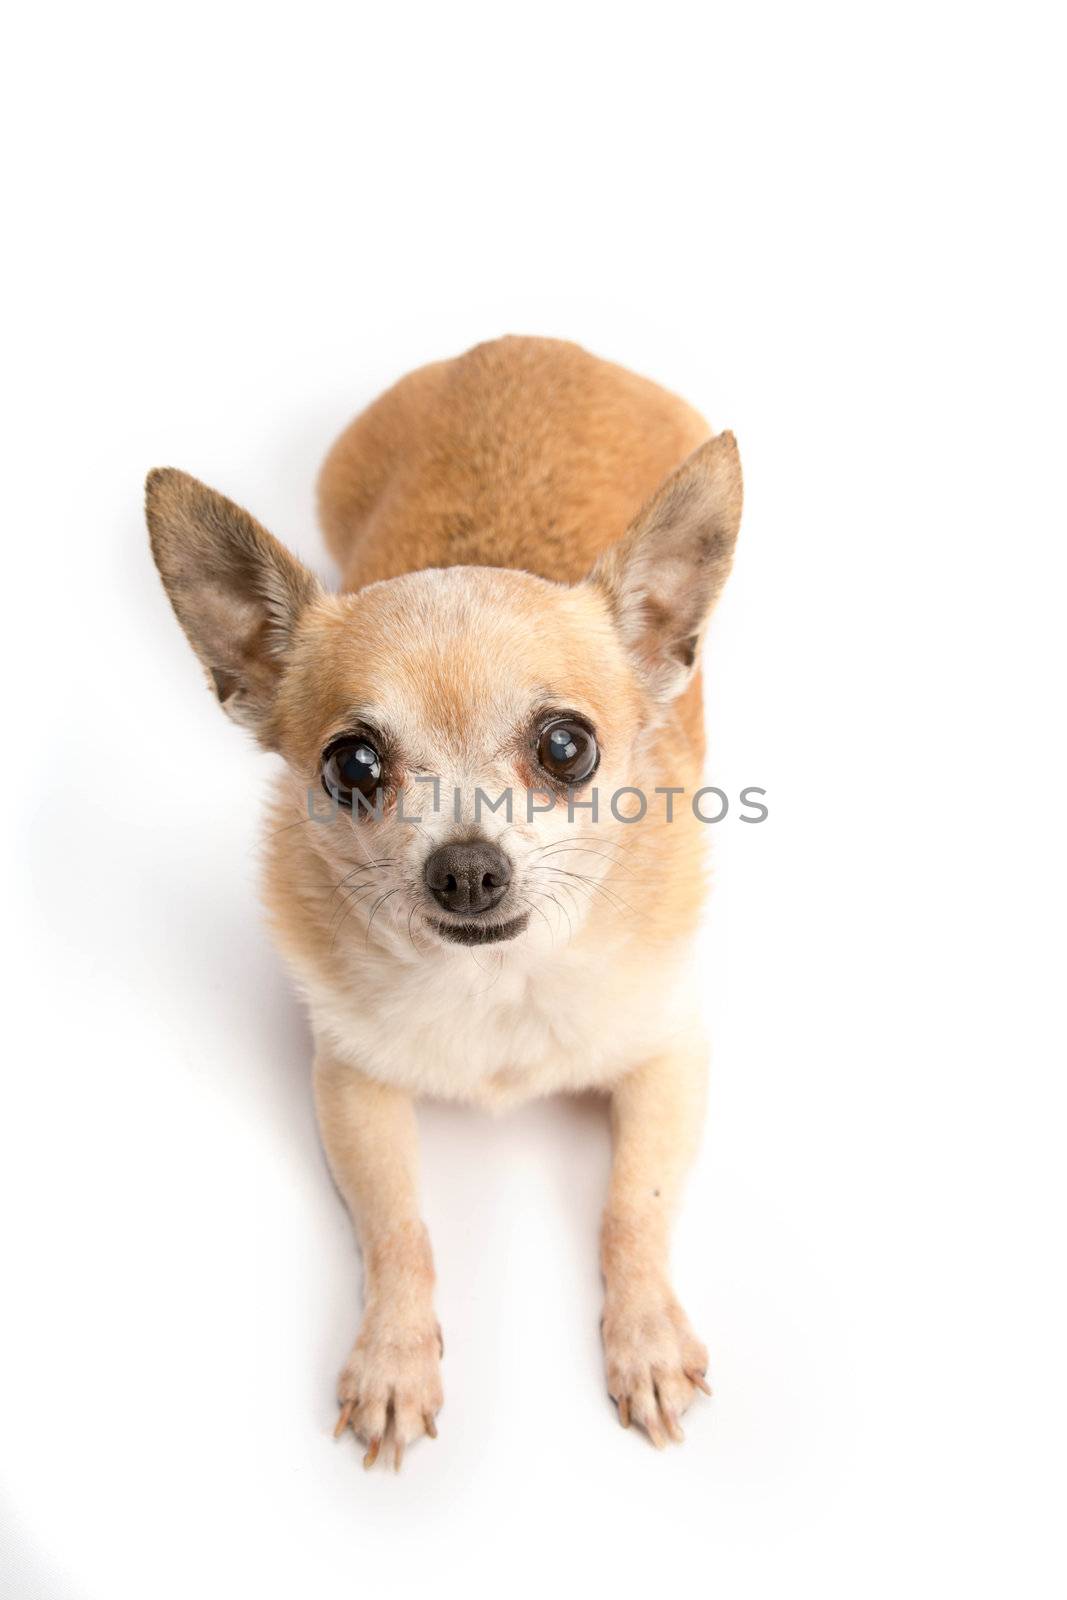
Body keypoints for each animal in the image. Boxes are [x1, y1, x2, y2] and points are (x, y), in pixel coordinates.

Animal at [143, 334, 742, 1465]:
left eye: (566, 748)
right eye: (352, 766)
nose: (465, 868)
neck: (497, 983)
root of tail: (524, 342)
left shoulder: (670, 1062)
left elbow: (630, 1208)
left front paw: (644, 1338)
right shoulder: (351, 1088)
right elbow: (398, 1229)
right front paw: (393, 1360)